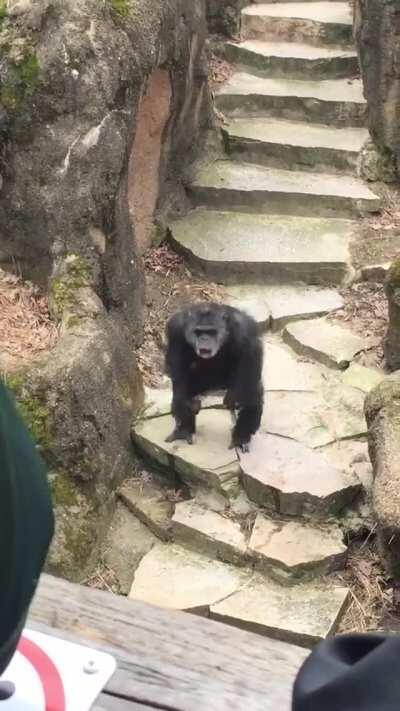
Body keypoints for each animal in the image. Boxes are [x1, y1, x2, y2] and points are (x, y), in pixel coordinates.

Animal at [164, 302, 263, 452]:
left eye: (212, 332)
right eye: (198, 332)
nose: (204, 339)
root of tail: (216, 386)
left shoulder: (246, 330)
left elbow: (251, 360)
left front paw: (232, 398)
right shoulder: (175, 330)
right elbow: (178, 368)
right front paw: (186, 408)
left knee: (252, 394)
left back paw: (241, 438)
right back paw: (184, 430)